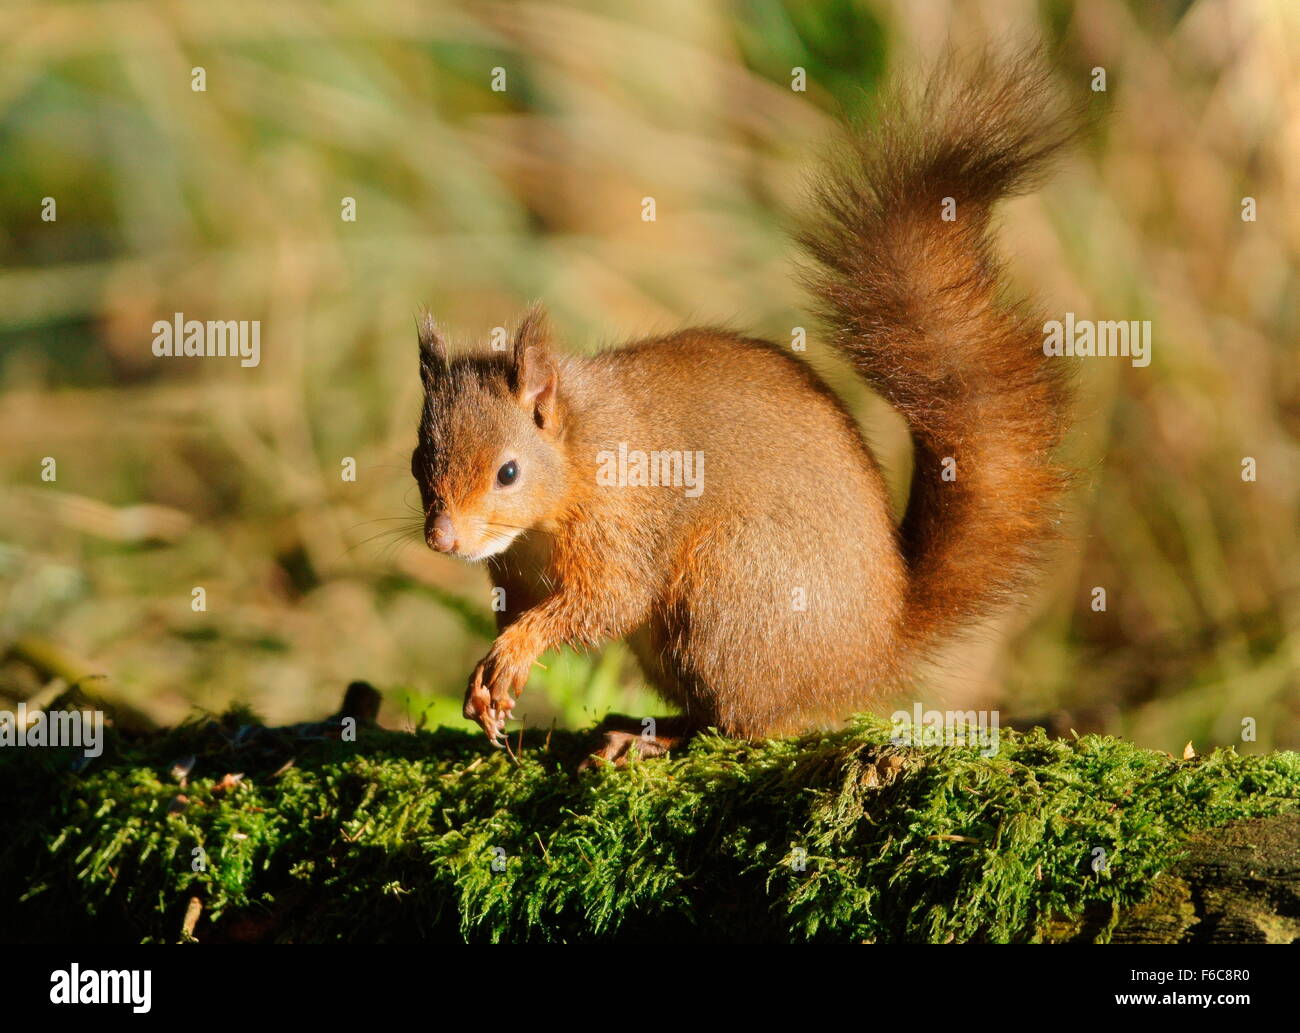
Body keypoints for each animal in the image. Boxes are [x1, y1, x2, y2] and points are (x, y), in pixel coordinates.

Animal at [408, 52, 1076, 764]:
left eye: (508, 472)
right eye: (418, 462)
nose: (442, 540)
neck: (574, 461)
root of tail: (868, 659)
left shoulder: (624, 525)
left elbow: (606, 600)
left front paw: (515, 652)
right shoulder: (515, 569)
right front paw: (489, 681)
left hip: (725, 595)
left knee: (743, 723)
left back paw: (647, 741)